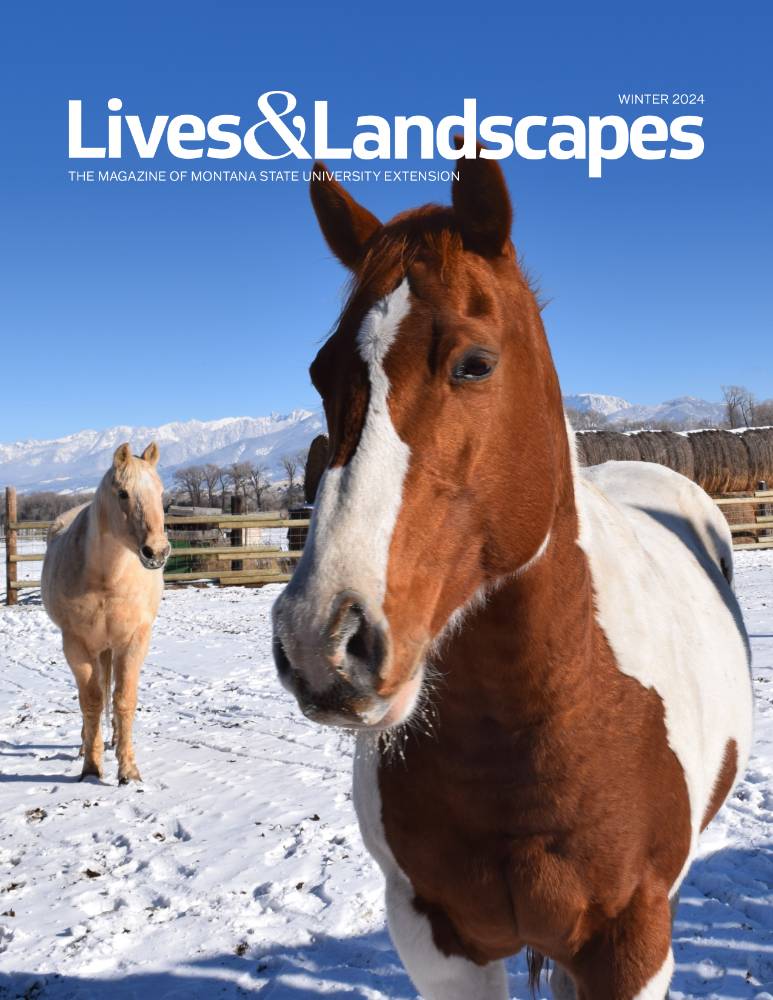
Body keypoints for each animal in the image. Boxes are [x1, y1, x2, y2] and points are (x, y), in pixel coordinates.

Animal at [42, 444, 169, 780]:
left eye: (160, 492)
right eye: (122, 493)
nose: (157, 552)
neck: (107, 579)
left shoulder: (134, 640)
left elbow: (123, 699)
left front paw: (129, 771)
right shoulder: (77, 645)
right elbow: (91, 701)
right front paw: (90, 767)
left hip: (109, 647)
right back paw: (85, 745)